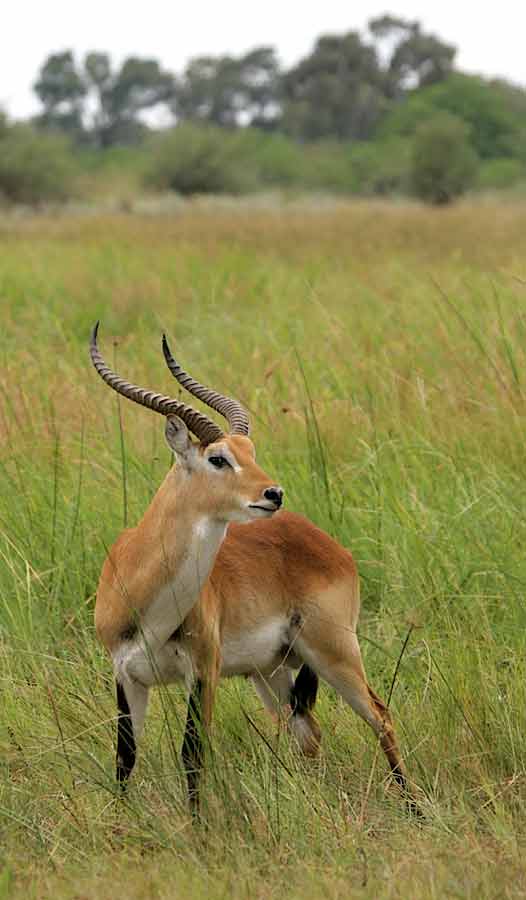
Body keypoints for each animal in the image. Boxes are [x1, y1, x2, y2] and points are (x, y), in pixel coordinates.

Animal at [91, 326, 416, 816]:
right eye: (218, 458)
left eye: (251, 450)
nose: (273, 493)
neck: (145, 595)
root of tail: (327, 543)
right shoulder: (126, 675)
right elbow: (124, 758)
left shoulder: (203, 670)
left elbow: (192, 753)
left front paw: (198, 825)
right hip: (271, 672)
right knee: (308, 732)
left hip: (333, 651)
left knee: (379, 715)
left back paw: (415, 807)